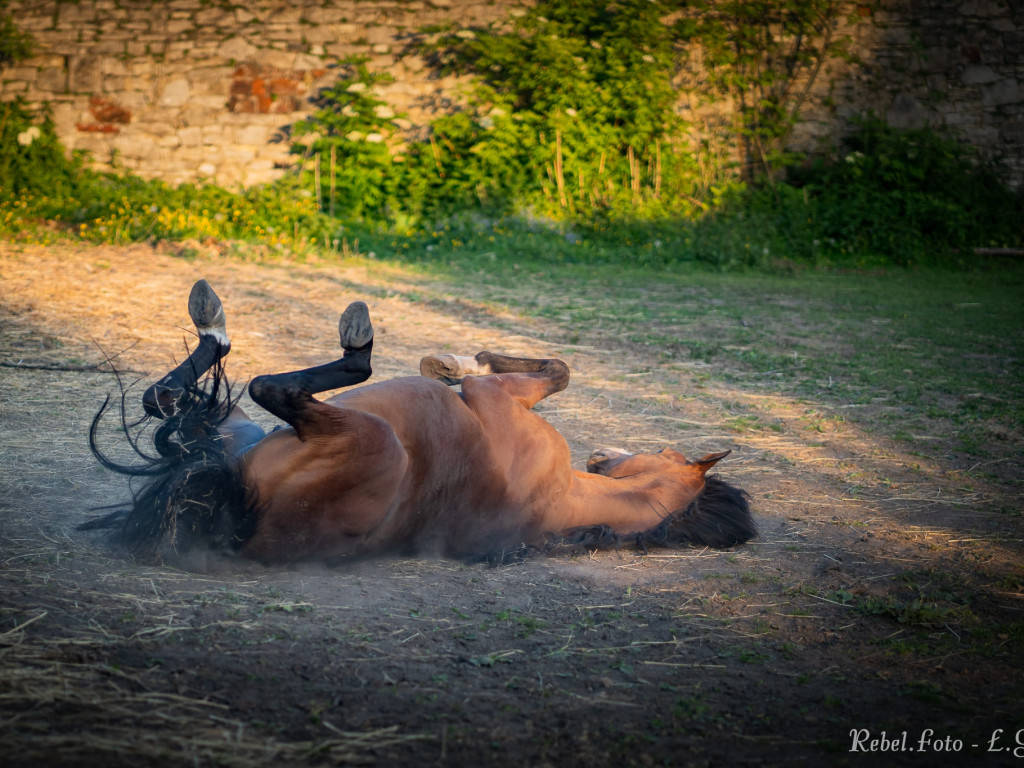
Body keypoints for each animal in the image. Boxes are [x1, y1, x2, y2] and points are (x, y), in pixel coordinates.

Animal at [88, 280, 757, 561]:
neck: (571, 496)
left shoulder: (495, 395)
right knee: (165, 402)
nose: (605, 454)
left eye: (667, 454)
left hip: (350, 431)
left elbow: (555, 370)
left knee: (262, 386)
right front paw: (448, 362)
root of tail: (234, 513)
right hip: (237, 432)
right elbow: (552, 367)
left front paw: (456, 362)